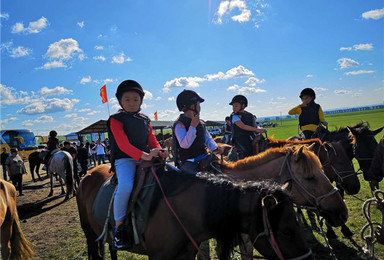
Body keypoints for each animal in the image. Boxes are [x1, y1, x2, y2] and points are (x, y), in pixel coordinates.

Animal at [77, 165, 312, 260]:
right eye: (287, 232)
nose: (309, 259)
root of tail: (88, 173)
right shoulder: (158, 256)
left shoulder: (187, 253)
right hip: (88, 233)